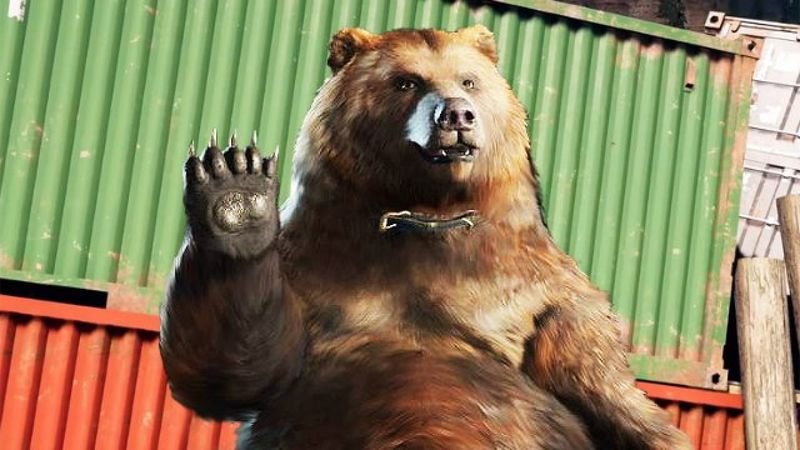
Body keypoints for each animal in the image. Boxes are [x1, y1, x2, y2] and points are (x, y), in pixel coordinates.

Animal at [160, 25, 692, 449]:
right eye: (406, 80)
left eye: (469, 79)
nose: (457, 114)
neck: (428, 213)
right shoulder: (310, 265)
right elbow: (243, 369)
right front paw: (236, 192)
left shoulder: (541, 291)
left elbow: (601, 387)